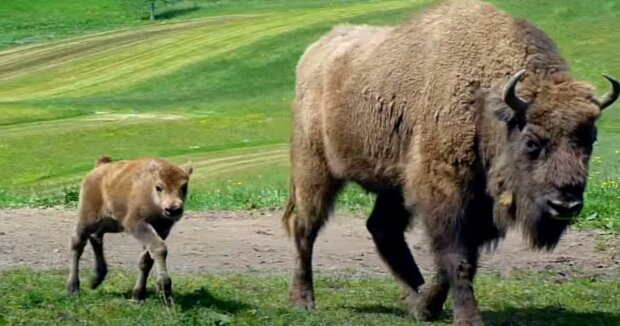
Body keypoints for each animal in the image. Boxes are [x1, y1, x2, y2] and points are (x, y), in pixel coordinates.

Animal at [65, 155, 191, 304]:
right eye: (159, 187)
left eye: (184, 186)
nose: (173, 209)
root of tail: (100, 167)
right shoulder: (135, 223)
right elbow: (159, 248)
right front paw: (165, 289)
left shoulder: (163, 229)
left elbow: (146, 260)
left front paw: (138, 296)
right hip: (88, 218)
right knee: (77, 243)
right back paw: (73, 287)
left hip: (111, 223)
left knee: (96, 237)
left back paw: (95, 279)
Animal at [282, 0, 620, 324]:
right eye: (532, 142)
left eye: (590, 140)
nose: (565, 206)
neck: (486, 104)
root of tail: (315, 52)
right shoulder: (446, 195)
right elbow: (457, 258)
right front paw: (467, 318)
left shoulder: (476, 208)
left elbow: (458, 261)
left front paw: (426, 306)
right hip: (314, 169)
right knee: (305, 228)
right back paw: (303, 301)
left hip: (392, 184)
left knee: (381, 228)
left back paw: (413, 299)